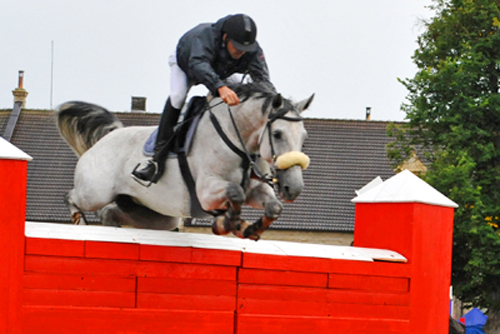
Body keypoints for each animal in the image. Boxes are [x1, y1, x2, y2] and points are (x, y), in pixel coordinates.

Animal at [55, 83, 312, 240]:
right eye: (277, 134)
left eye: (304, 136)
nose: (293, 189)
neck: (237, 141)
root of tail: (107, 137)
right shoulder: (206, 192)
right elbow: (235, 192)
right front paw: (228, 224)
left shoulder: (256, 189)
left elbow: (273, 206)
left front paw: (247, 228)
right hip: (95, 193)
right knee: (72, 197)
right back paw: (78, 223)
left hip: (159, 216)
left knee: (110, 212)